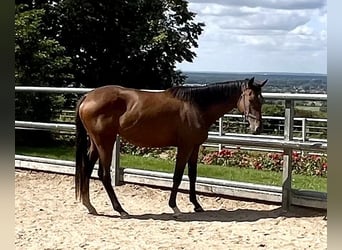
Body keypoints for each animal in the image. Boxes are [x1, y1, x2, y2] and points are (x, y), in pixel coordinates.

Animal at [74, 76, 268, 217]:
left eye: (262, 100)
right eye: (251, 98)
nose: (257, 128)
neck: (197, 106)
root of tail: (88, 96)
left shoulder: (194, 147)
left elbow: (192, 175)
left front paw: (196, 205)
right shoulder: (185, 147)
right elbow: (177, 176)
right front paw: (174, 207)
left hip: (96, 143)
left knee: (87, 169)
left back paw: (89, 205)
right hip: (105, 142)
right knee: (104, 174)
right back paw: (120, 210)